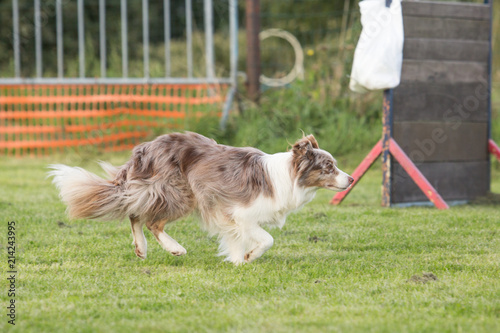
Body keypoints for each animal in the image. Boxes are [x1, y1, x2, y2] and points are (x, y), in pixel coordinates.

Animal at [48, 131, 354, 264]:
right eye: (329, 167)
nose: (351, 180)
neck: (289, 176)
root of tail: (144, 149)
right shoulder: (240, 212)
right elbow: (267, 239)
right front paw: (248, 255)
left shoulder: (230, 214)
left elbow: (236, 238)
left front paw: (237, 259)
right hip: (181, 193)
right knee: (150, 221)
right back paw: (174, 249)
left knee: (134, 213)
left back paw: (141, 249)